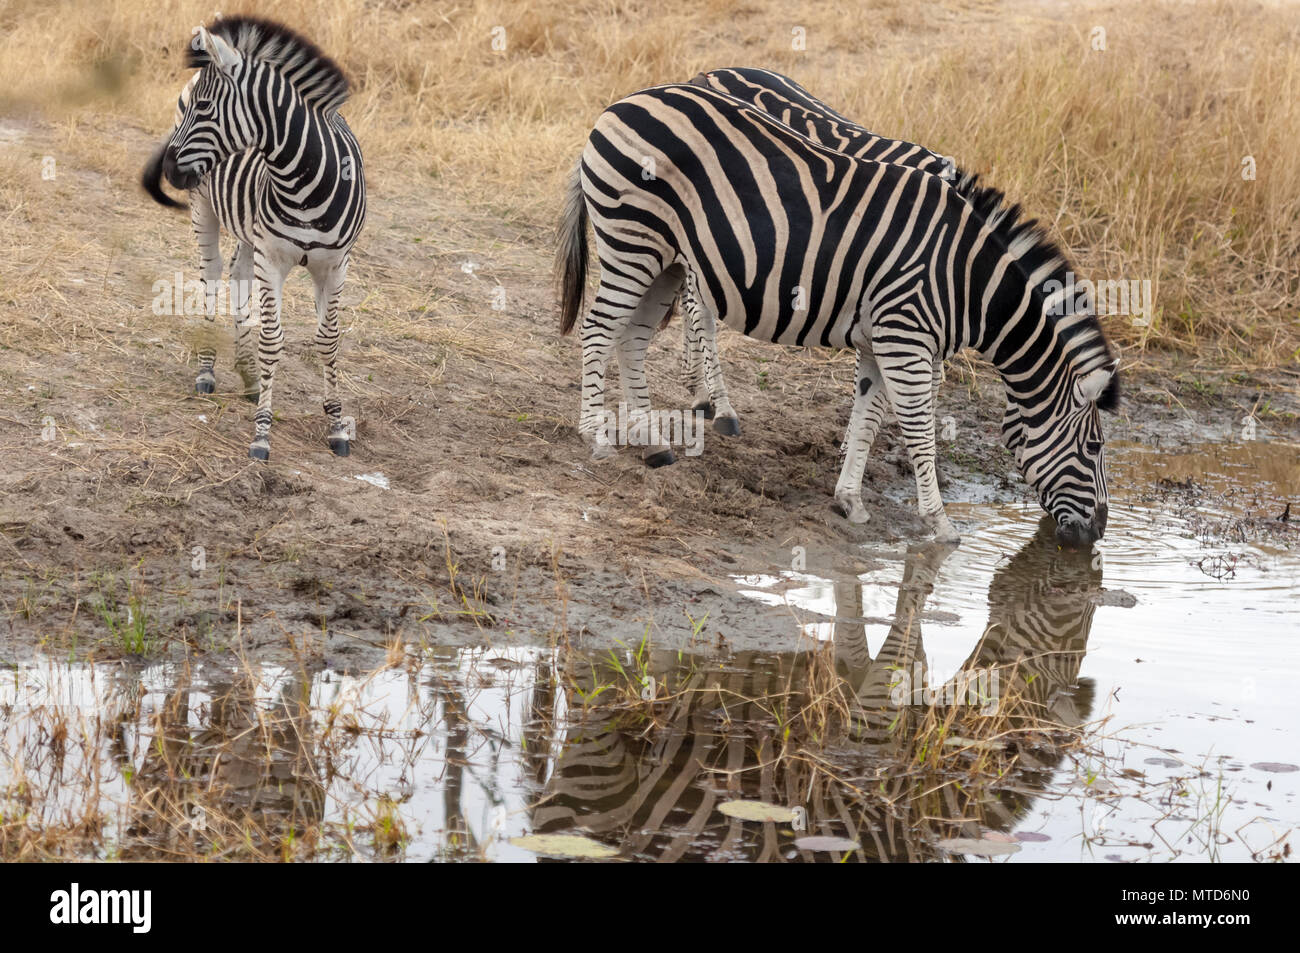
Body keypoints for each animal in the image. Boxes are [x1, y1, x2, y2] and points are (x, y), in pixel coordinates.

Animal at [143, 14, 366, 460]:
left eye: (206, 108)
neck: (303, 181)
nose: (170, 172)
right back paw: (208, 371)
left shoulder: (335, 265)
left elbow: (329, 340)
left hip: (250, 232)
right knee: (212, 276)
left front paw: (336, 425)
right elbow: (272, 339)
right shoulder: (273, 258)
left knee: (238, 275)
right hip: (205, 208)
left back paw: (247, 375)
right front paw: (262, 433)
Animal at [556, 81, 1118, 543]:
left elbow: (868, 415)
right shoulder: (906, 337)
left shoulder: (880, 340)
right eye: (1093, 447)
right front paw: (940, 525)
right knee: (599, 328)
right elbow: (919, 431)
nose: (1097, 535)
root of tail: (620, 104)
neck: (964, 276)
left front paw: (850, 501)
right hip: (633, 238)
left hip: (667, 258)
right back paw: (596, 436)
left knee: (632, 337)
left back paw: (651, 441)